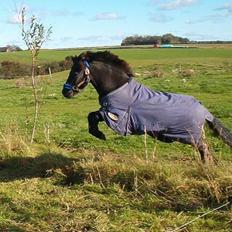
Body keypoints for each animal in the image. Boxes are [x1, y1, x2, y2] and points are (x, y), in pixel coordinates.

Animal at [63, 50, 232, 163]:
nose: (65, 92)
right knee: (207, 151)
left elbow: (92, 116)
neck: (117, 88)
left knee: (205, 151)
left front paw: (99, 134)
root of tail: (204, 111)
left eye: (76, 71)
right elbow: (91, 115)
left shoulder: (115, 115)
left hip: (192, 137)